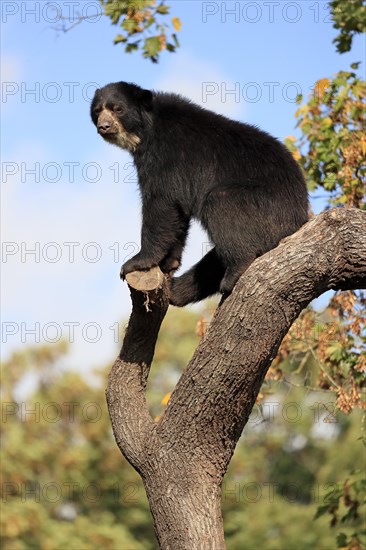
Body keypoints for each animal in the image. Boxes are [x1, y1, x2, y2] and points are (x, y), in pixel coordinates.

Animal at [91, 83, 308, 306]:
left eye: (118, 109)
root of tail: (300, 216)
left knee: (222, 207)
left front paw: (135, 262)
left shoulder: (164, 158)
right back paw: (176, 290)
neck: (146, 131)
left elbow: (161, 204)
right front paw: (169, 263)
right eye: (97, 111)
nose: (104, 126)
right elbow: (177, 214)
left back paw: (234, 272)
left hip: (264, 207)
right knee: (212, 262)